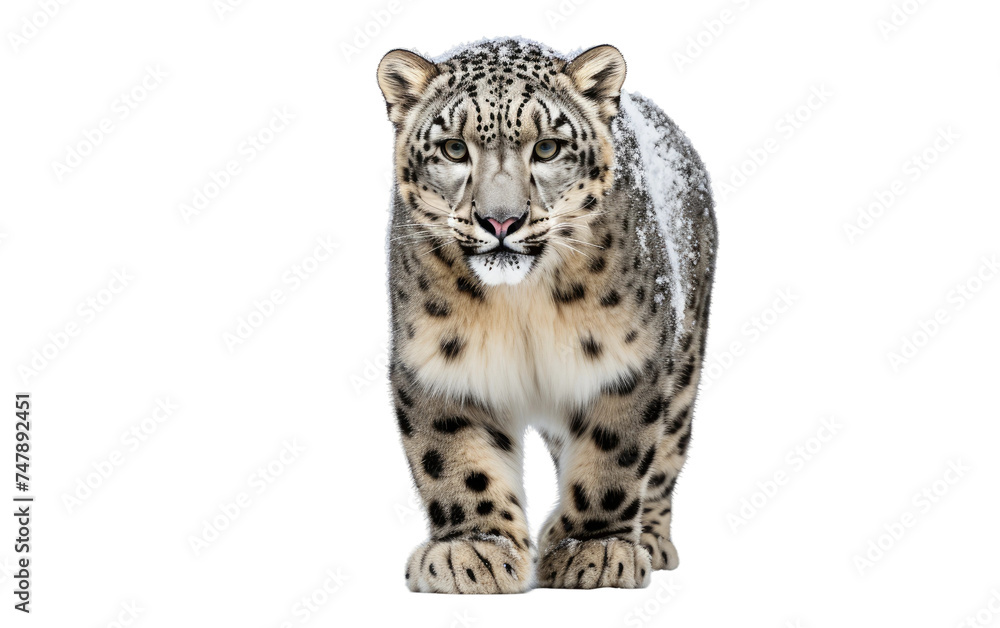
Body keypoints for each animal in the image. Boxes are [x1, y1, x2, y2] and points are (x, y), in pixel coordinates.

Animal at [376, 37, 717, 593]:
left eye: (548, 148)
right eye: (454, 148)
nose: (501, 221)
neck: (520, 307)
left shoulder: (626, 361)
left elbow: (614, 456)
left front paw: (595, 550)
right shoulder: (437, 361)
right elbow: (454, 459)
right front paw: (474, 551)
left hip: (685, 360)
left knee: (666, 455)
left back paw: (647, 539)